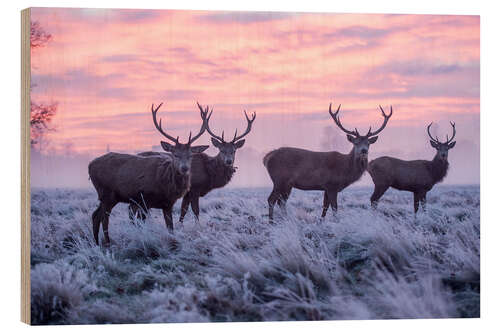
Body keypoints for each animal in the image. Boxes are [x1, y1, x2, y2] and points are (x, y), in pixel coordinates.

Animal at [89, 102, 208, 245]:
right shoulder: (144, 199)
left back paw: (97, 243)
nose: (184, 168)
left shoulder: (168, 204)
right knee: (104, 218)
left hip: (107, 196)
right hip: (106, 193)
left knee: (95, 215)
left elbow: (170, 229)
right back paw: (107, 243)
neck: (166, 185)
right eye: (175, 154)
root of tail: (90, 165)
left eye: (191, 155)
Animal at [264, 102, 392, 219]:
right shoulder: (332, 185)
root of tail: (267, 157)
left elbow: (325, 207)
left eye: (368, 143)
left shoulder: (326, 187)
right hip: (279, 179)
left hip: (287, 184)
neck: (345, 170)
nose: (364, 151)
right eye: (356, 143)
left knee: (281, 201)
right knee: (271, 199)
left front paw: (322, 221)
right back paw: (271, 221)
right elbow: (334, 208)